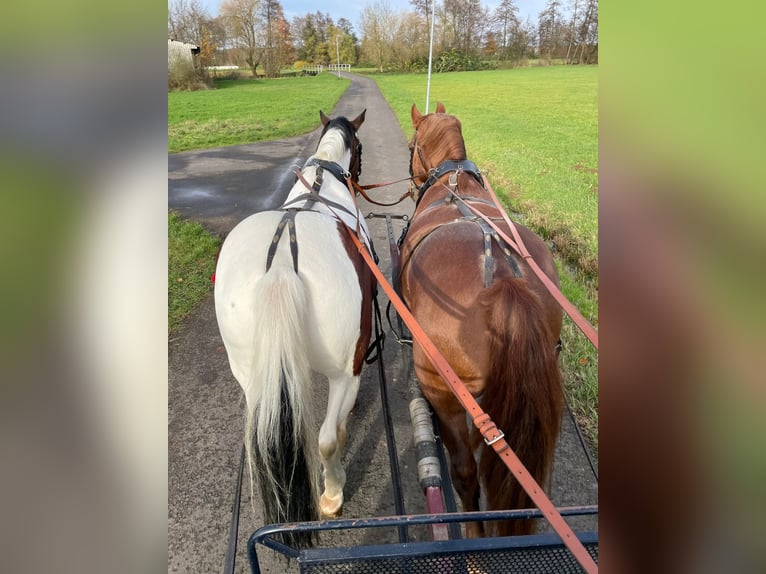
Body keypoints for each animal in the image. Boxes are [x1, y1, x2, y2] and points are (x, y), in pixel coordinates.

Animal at [213, 109, 376, 548]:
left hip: (249, 371)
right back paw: (332, 493)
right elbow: (335, 433)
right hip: (343, 371)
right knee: (326, 440)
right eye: (359, 149)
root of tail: (283, 264)